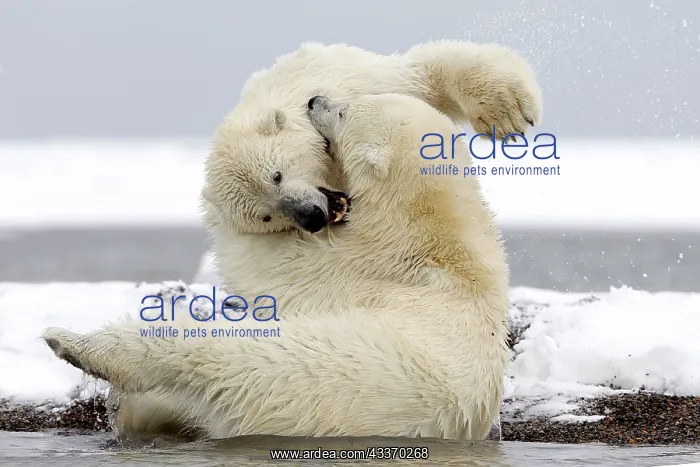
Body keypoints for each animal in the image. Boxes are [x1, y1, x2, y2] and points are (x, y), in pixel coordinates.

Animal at [42, 92, 511, 441]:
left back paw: (73, 345)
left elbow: (276, 268)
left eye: (343, 112)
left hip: (286, 370)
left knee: (205, 349)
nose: (315, 100)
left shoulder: (374, 259)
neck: (438, 231)